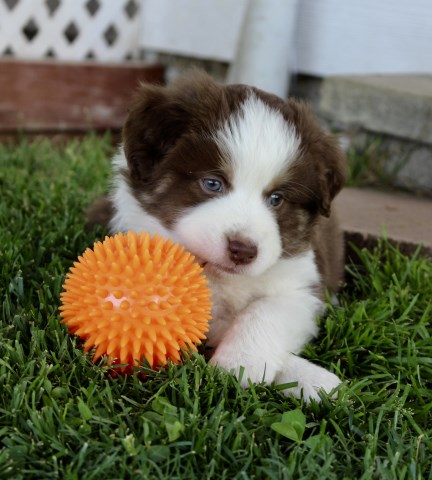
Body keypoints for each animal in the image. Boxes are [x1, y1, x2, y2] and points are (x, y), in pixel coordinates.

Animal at [88, 70, 348, 402]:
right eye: (212, 183)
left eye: (276, 199)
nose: (243, 250)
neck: (223, 277)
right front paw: (304, 377)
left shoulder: (301, 283)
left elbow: (267, 310)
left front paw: (243, 364)